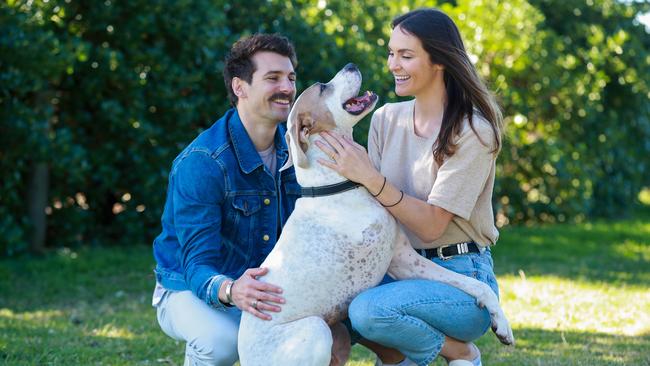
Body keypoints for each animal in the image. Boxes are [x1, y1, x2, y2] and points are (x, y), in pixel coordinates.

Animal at [235, 64, 512, 364]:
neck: (337, 185)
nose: (351, 65)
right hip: (317, 329)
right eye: (322, 87)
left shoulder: (405, 261)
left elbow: (475, 285)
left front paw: (501, 323)